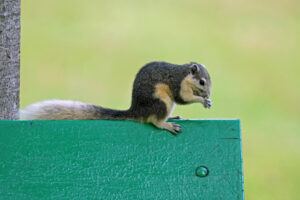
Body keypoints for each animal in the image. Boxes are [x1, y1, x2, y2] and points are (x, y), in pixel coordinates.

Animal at [21, 61, 212, 135]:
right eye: (202, 81)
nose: (209, 94)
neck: (184, 74)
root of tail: (137, 111)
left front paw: (207, 101)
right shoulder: (178, 85)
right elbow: (184, 98)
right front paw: (202, 100)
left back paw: (172, 117)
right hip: (162, 102)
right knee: (154, 121)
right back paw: (167, 124)